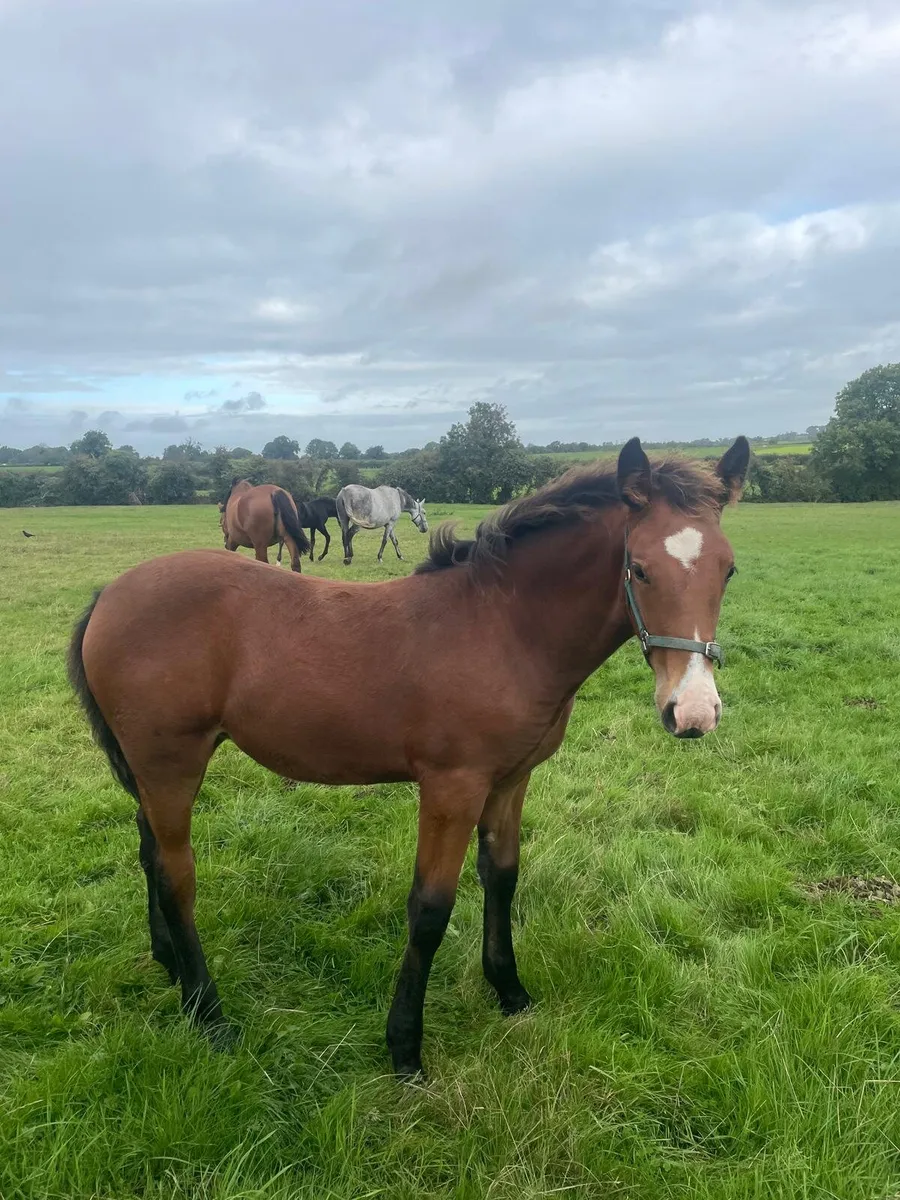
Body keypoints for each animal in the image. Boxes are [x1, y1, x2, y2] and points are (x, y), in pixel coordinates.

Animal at [67, 436, 749, 1079]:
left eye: (729, 570)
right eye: (639, 568)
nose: (692, 711)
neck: (504, 628)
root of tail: (109, 594)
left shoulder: (511, 779)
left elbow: (502, 876)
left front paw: (510, 991)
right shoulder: (452, 786)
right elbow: (429, 909)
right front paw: (404, 1048)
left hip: (154, 769)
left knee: (148, 850)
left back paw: (169, 966)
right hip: (170, 764)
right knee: (176, 874)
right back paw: (207, 1013)